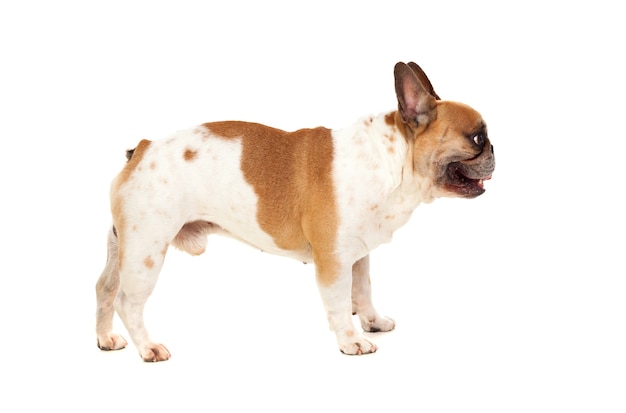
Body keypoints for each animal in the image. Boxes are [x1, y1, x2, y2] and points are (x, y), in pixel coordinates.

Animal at [94, 61, 492, 360]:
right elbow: (338, 301)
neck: (393, 160)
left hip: (121, 247)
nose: (494, 151)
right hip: (146, 251)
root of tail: (141, 150)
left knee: (105, 288)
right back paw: (148, 347)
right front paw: (351, 340)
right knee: (127, 302)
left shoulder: (359, 254)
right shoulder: (333, 260)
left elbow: (363, 289)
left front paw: (373, 321)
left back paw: (106, 340)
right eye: (477, 138)